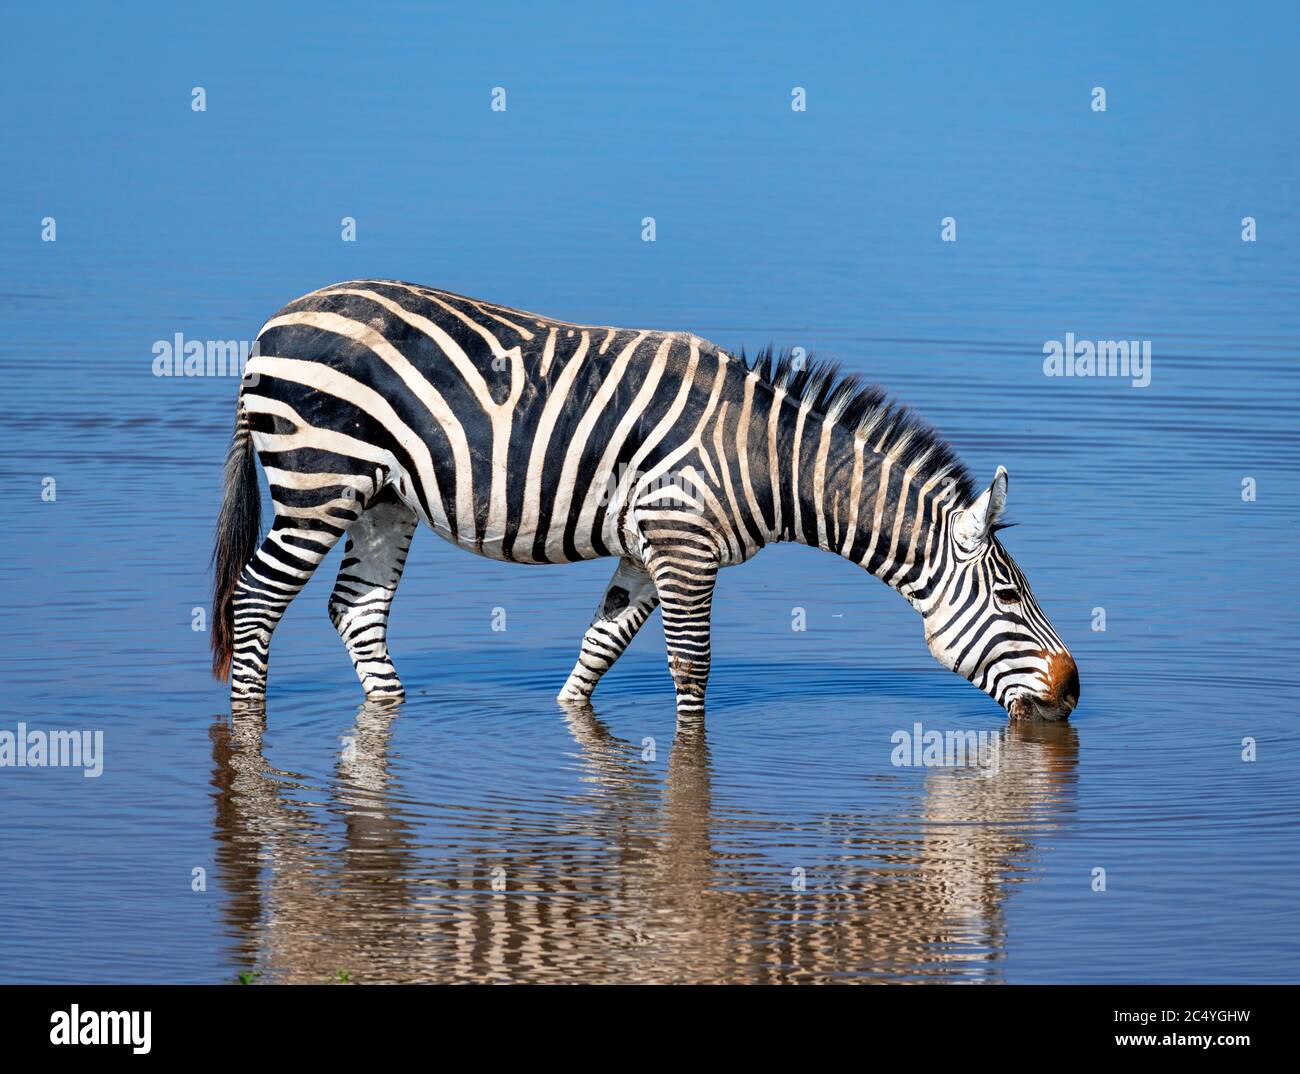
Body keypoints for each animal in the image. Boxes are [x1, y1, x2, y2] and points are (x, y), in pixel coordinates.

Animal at [213, 280, 1081, 722]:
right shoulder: (684, 546)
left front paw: (569, 718)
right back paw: (248, 724)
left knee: (355, 611)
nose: (1073, 692)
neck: (764, 458)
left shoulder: (644, 549)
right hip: (318, 483)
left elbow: (597, 653)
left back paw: (393, 709)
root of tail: (272, 324)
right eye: (1011, 596)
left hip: (382, 502)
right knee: (255, 601)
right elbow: (692, 670)